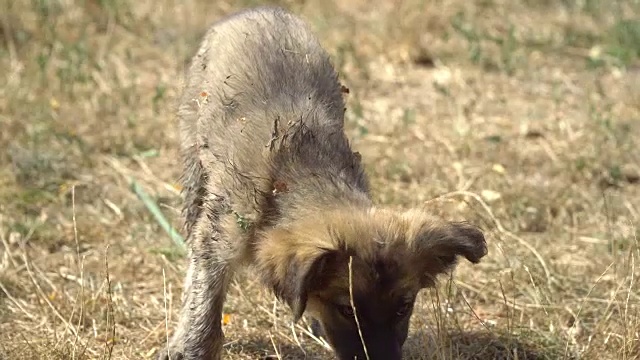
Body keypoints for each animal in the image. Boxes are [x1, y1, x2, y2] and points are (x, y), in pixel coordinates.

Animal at [158, 5, 488, 360]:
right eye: (346, 310)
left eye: (404, 307)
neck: (299, 178)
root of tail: (258, 9)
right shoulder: (219, 238)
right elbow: (204, 299)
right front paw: (190, 348)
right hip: (194, 164)